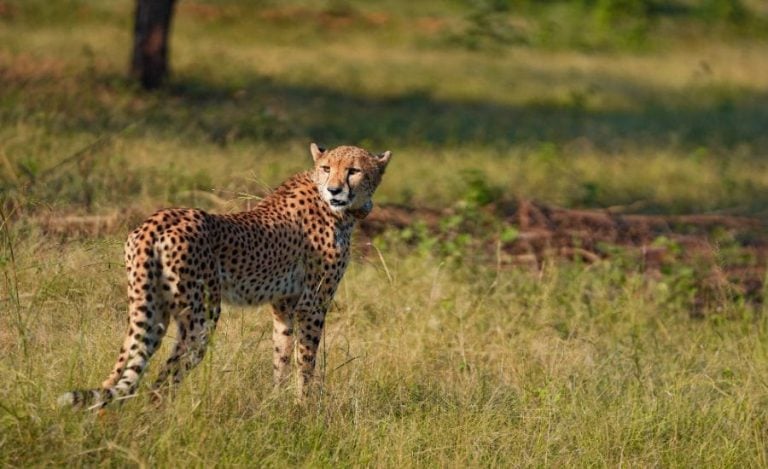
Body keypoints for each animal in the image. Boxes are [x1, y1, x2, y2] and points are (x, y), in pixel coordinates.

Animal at [58, 143, 392, 409]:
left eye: (353, 171)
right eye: (326, 168)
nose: (335, 190)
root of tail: (159, 219)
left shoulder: (284, 304)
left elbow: (281, 355)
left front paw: (276, 403)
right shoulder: (313, 304)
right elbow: (306, 360)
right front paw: (305, 407)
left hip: (150, 310)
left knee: (121, 372)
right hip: (201, 317)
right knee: (161, 381)